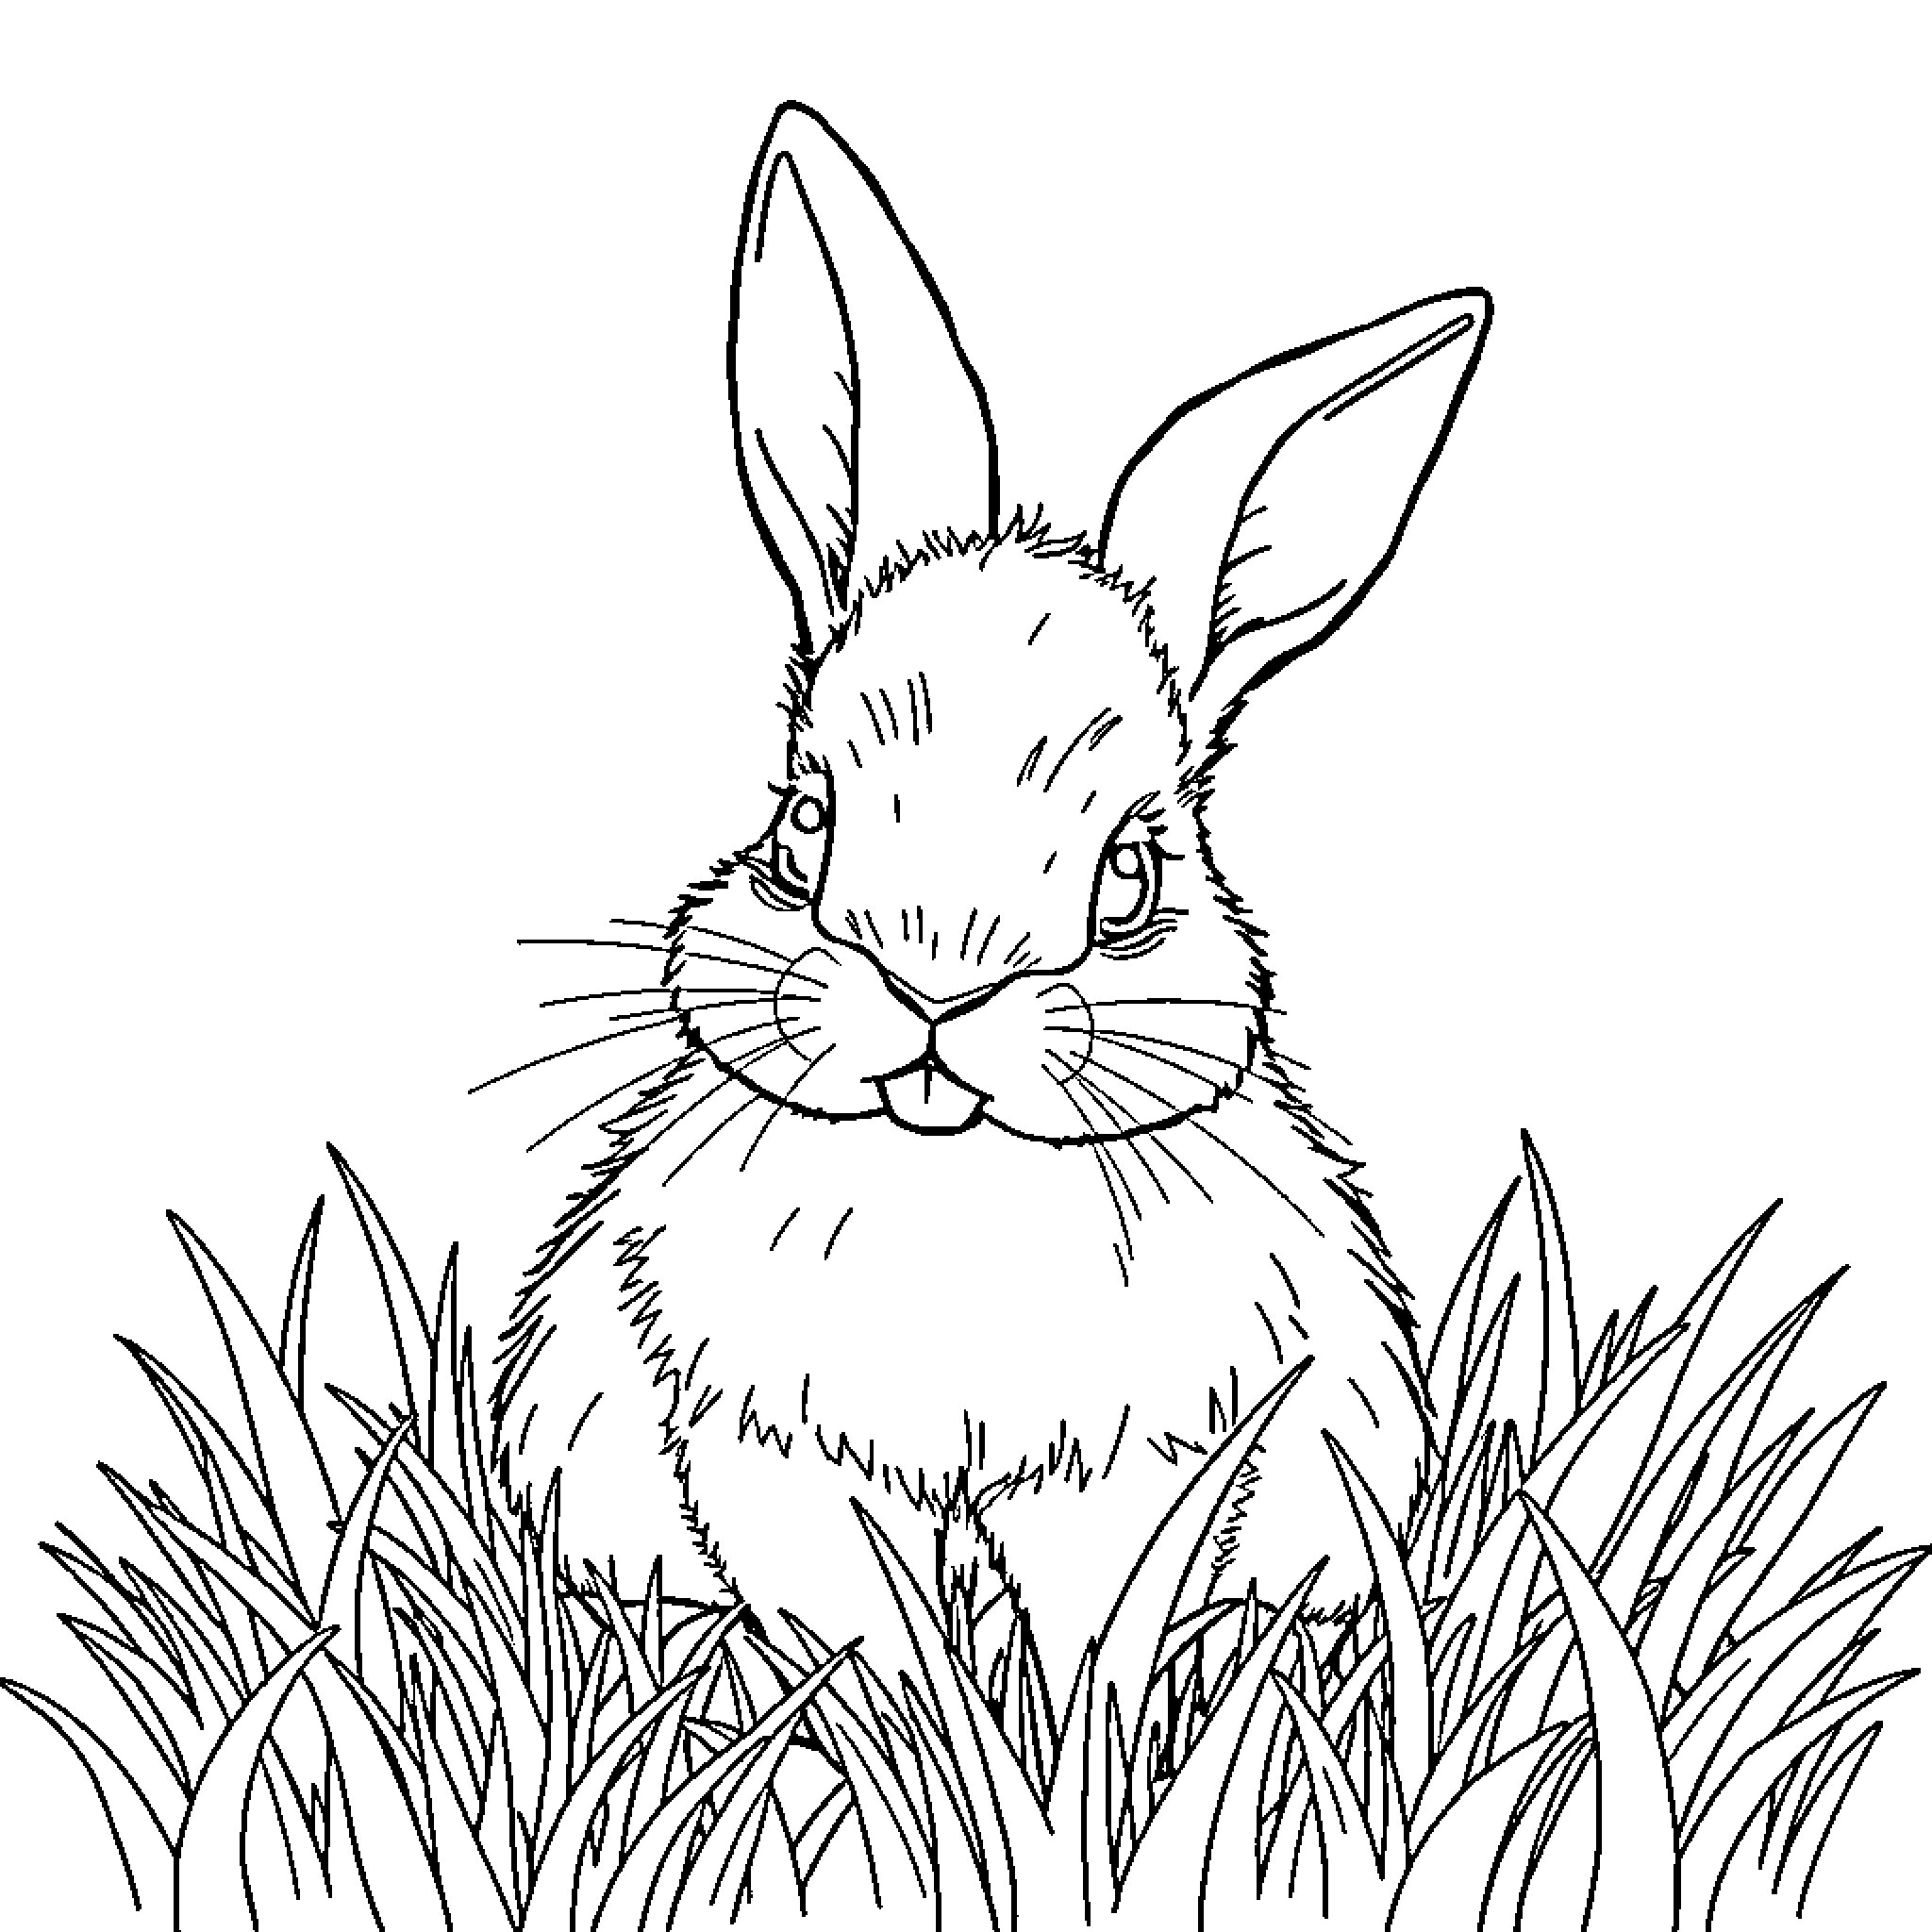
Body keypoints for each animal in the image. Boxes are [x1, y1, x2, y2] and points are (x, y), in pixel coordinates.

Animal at [492, 101, 1491, 1701]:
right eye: (804, 827)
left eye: (1134, 873)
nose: (934, 991)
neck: (952, 1201)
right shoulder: (767, 1451)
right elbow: (848, 1626)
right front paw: (878, 1727)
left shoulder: (1144, 1468)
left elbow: (1106, 1637)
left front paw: (1085, 1738)